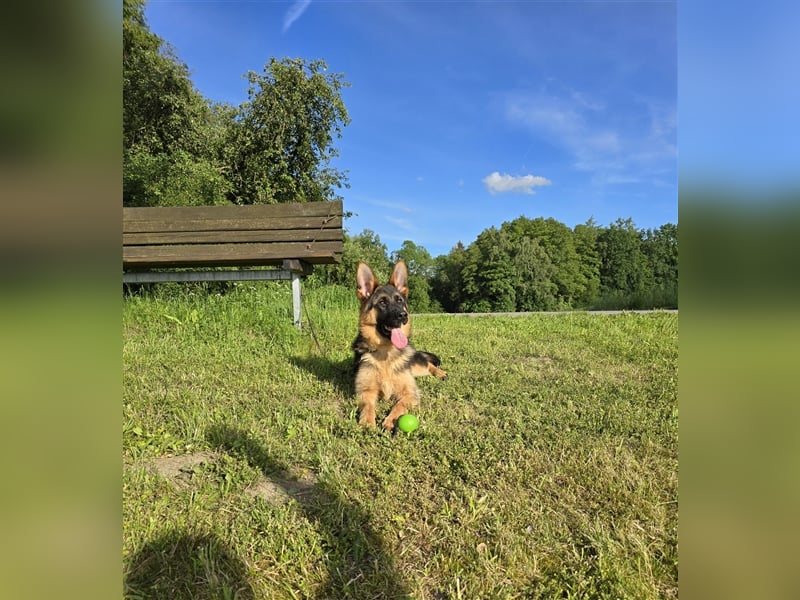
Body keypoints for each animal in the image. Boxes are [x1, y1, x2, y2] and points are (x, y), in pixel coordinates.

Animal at [354, 260, 446, 428]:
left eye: (399, 301)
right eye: (382, 302)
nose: (403, 315)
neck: (385, 353)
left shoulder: (410, 393)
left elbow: (399, 404)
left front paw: (390, 420)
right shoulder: (365, 391)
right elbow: (368, 405)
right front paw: (368, 422)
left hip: (417, 369)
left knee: (428, 365)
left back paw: (440, 373)